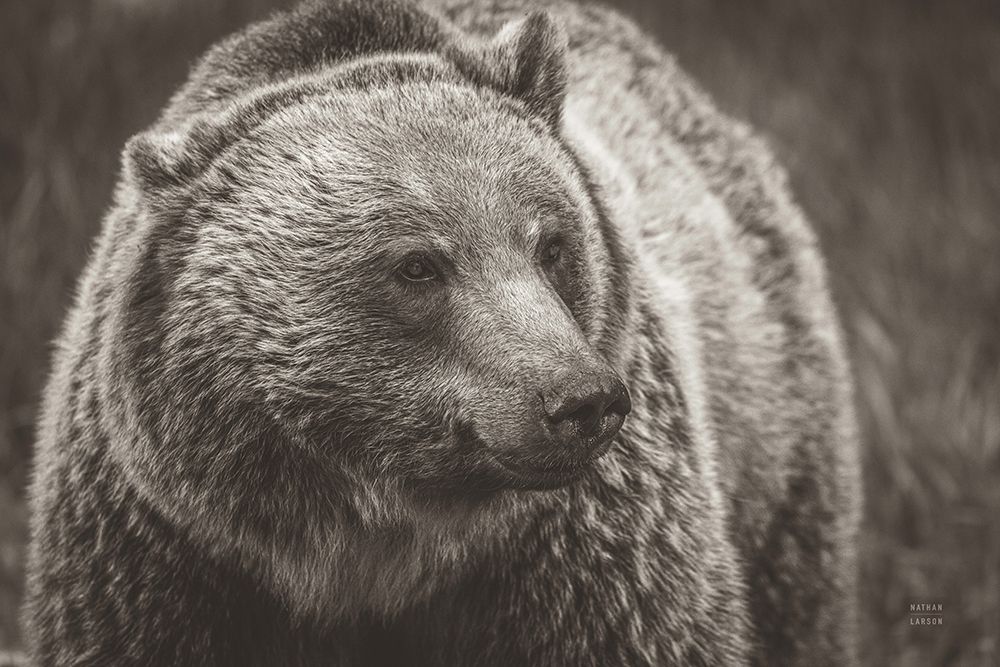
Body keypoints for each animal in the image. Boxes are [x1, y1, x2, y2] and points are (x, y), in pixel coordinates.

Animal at [25, 0, 860, 664]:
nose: (581, 399)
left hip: (776, 418)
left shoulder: (584, 545)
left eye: (552, 243)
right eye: (418, 265)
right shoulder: (170, 550)